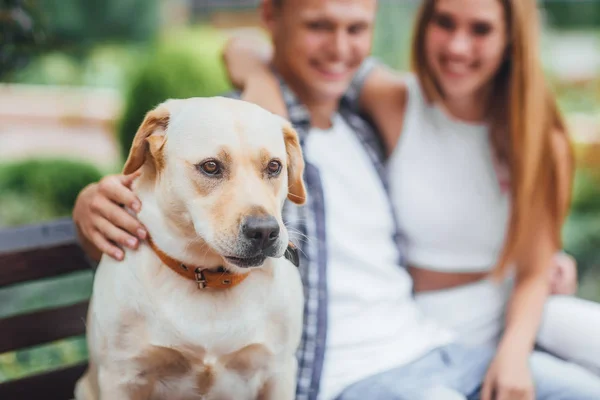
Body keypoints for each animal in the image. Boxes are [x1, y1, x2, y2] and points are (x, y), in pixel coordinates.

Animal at [75, 97, 308, 400]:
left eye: (274, 167)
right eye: (210, 167)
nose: (265, 231)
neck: (207, 277)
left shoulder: (278, 373)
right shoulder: (122, 377)